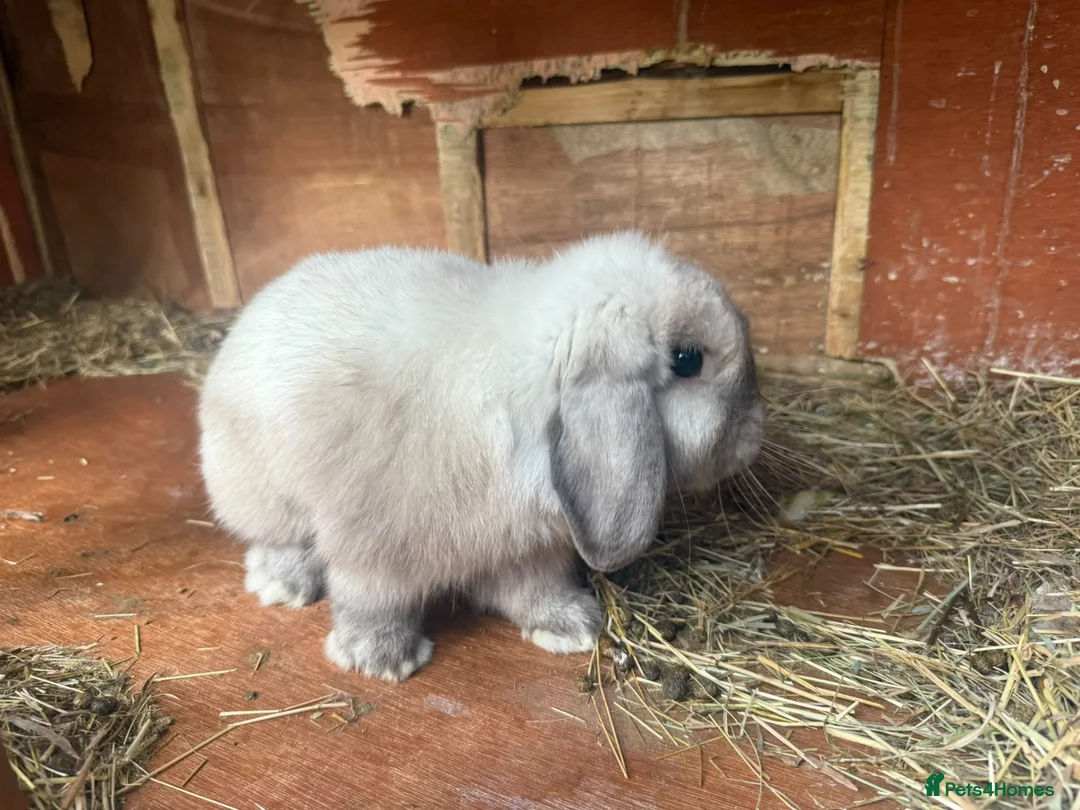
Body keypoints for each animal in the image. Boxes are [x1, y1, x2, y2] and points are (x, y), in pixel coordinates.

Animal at [197, 231, 765, 682]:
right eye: (687, 360)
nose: (755, 434)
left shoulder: (528, 550)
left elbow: (534, 590)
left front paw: (572, 625)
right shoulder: (374, 544)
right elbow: (372, 599)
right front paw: (381, 659)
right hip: (261, 492)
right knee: (278, 540)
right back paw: (283, 583)